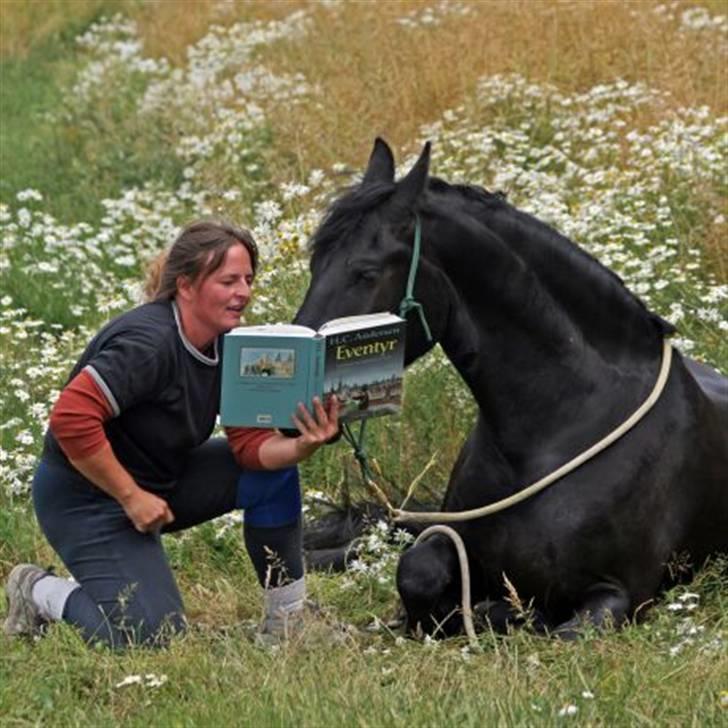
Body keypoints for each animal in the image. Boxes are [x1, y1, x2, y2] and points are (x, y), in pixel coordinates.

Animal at [298, 139, 728, 640]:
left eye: (365, 272)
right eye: (314, 264)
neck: (562, 423)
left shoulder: (621, 594)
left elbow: (560, 627)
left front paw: (504, 612)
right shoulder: (449, 538)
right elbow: (415, 573)